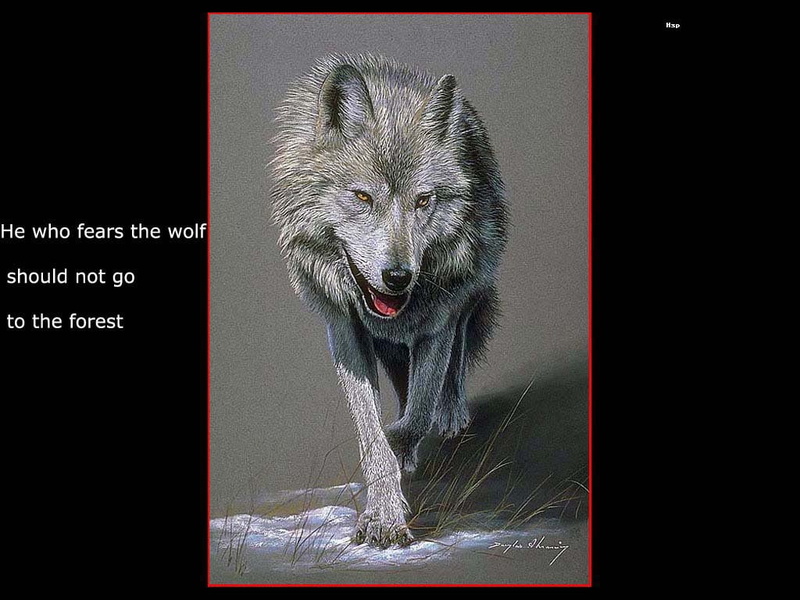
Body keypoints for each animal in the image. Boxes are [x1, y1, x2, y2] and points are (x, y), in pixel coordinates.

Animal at [271, 54, 508, 548]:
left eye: (423, 200)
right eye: (363, 196)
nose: (398, 277)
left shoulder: (438, 324)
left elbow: (413, 418)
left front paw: (397, 468)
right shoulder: (344, 331)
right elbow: (372, 433)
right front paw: (383, 511)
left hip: (466, 299)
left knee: (453, 362)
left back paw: (451, 415)